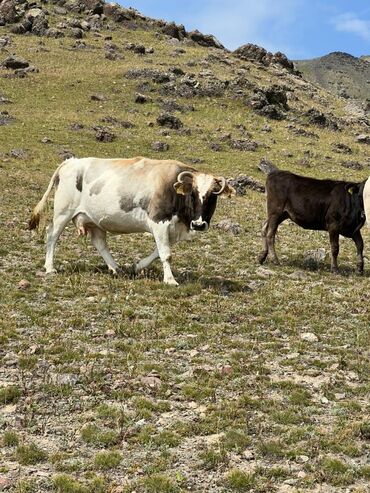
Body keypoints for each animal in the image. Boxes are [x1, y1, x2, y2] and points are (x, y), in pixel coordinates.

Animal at [28, 156, 233, 282]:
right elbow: (166, 254)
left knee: (99, 243)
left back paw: (116, 268)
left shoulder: (173, 230)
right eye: (193, 193)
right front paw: (170, 280)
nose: (199, 224)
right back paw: (50, 267)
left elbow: (158, 252)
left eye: (213, 195)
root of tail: (70, 162)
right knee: (52, 235)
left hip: (94, 220)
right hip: (63, 212)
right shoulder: (159, 222)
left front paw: (138, 266)